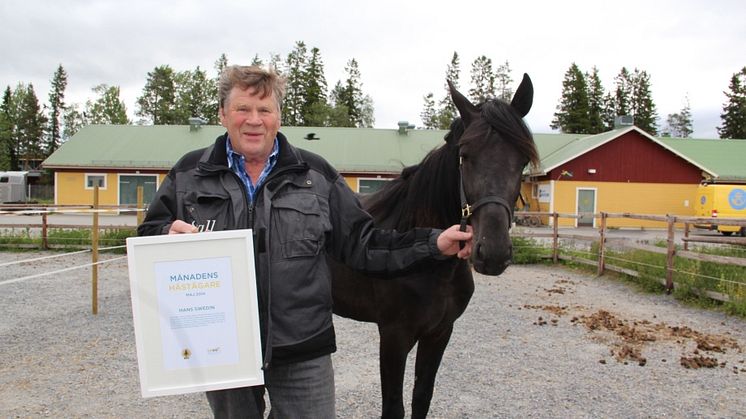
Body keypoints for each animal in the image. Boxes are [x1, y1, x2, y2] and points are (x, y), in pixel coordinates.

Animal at [330, 74, 536, 418]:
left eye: (521, 161)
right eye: (465, 155)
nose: (493, 252)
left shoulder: (439, 333)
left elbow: (422, 398)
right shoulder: (394, 336)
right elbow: (394, 407)